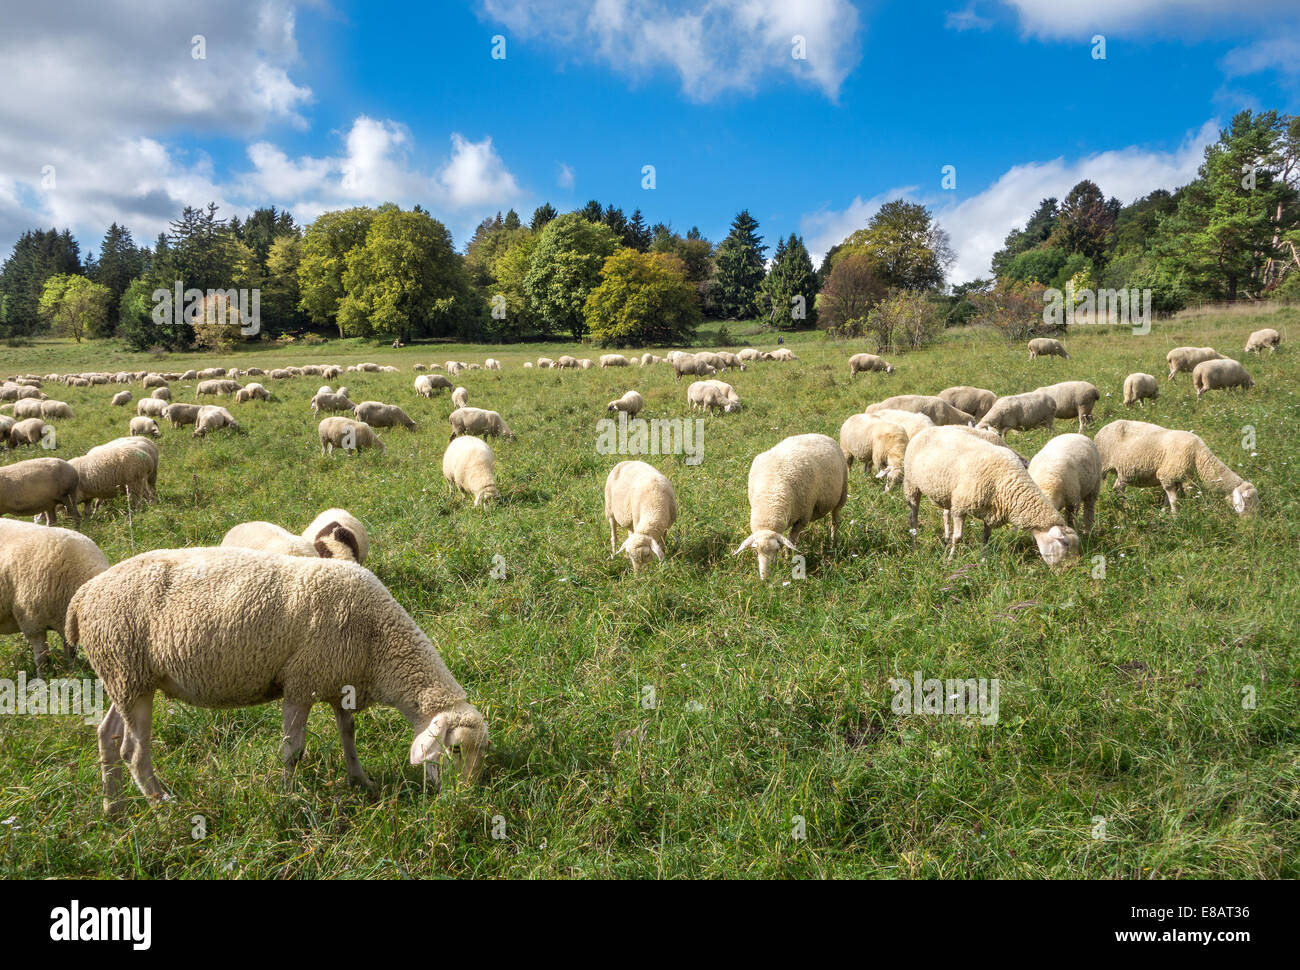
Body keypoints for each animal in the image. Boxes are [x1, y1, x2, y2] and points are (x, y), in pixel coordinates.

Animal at [0, 522, 108, 670]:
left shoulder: (66, 623)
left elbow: (70, 653)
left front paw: (72, 670)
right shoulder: (32, 623)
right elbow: (42, 658)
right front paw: (42, 675)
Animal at [63, 548, 488, 811]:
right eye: (454, 750)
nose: (463, 800)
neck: (378, 642)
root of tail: (81, 597)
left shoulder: (339, 683)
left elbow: (348, 735)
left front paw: (360, 780)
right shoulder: (301, 684)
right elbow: (293, 751)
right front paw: (287, 796)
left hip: (124, 678)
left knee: (107, 734)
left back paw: (114, 806)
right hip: (127, 672)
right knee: (134, 753)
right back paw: (163, 805)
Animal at [738, 434, 847, 577]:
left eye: (776, 550)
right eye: (756, 551)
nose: (765, 578)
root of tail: (818, 434)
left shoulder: (803, 517)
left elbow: (791, 539)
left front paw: (787, 559)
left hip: (842, 494)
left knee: (835, 521)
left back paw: (834, 542)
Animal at [899, 423, 1081, 564]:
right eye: (1066, 545)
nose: (1071, 570)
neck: (1007, 482)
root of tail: (927, 429)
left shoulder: (991, 511)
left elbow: (985, 537)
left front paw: (983, 560)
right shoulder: (960, 507)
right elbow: (958, 537)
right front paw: (950, 559)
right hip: (911, 484)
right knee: (913, 518)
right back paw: (914, 545)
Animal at [1092, 418, 1253, 517]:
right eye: (1247, 500)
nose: (1250, 525)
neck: (1198, 459)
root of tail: (1104, 427)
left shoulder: (1175, 479)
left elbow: (1167, 499)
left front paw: (1164, 513)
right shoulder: (1167, 475)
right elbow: (1174, 500)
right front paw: (1176, 517)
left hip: (1122, 472)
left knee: (1118, 488)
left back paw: (1125, 507)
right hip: (1101, 465)